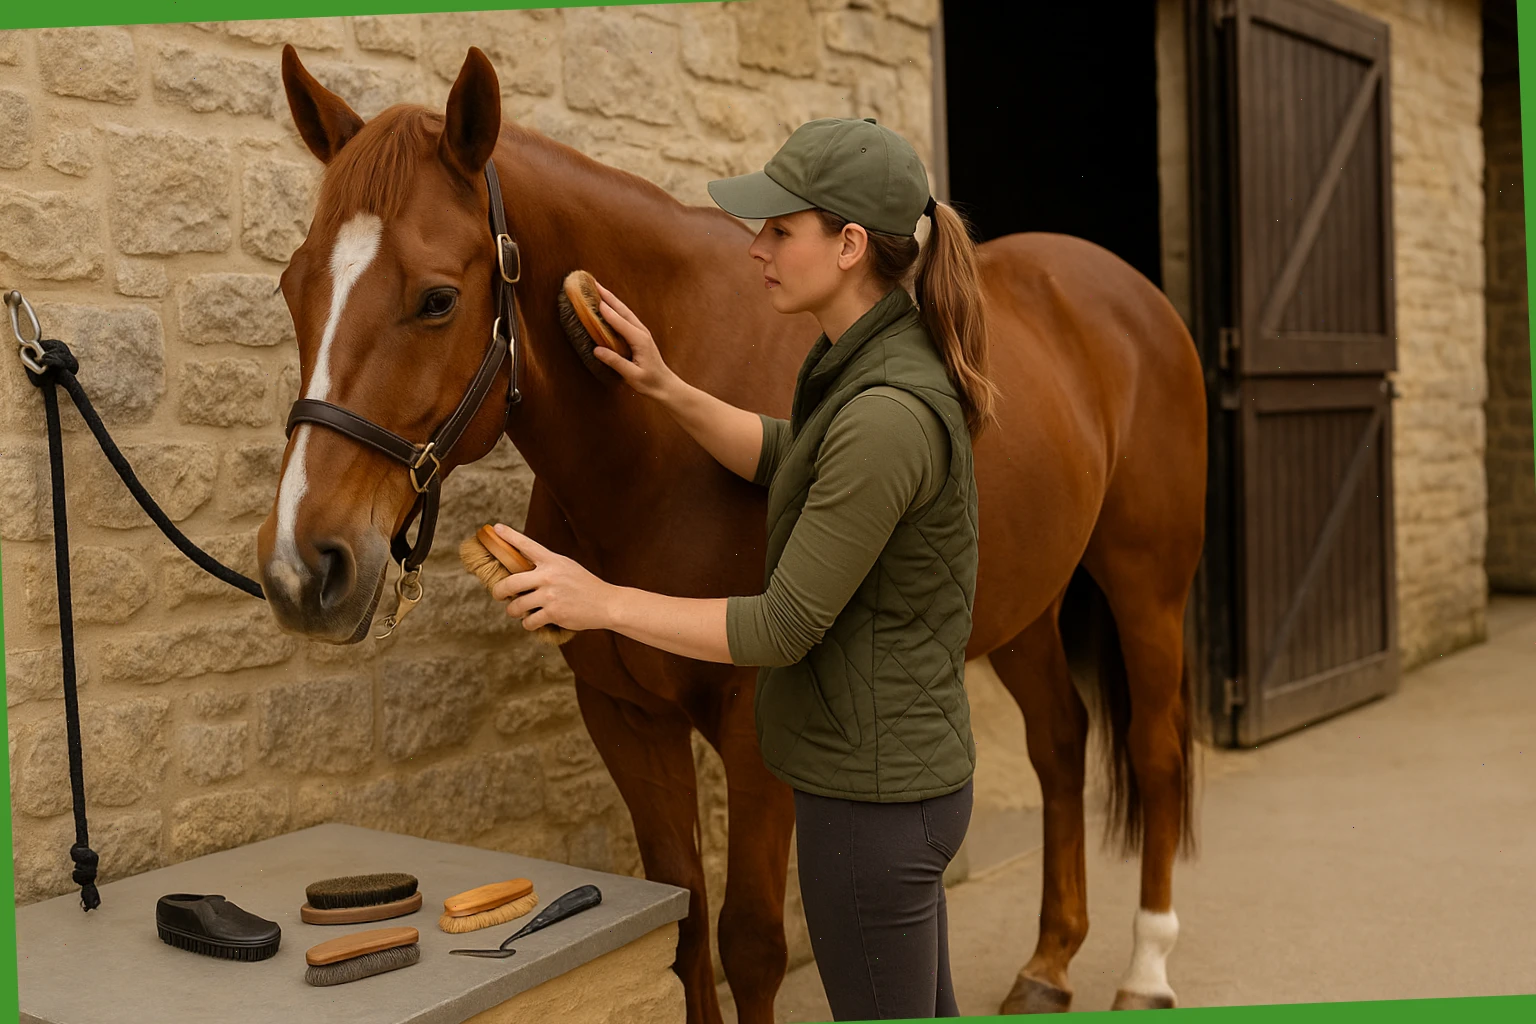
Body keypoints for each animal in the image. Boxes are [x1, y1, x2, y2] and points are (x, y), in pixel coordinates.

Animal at [258, 45, 1206, 1020]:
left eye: (439, 300)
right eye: (294, 286)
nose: (303, 568)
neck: (652, 459)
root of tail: (1124, 291)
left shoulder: (759, 734)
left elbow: (749, 940)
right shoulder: (628, 717)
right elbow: (680, 921)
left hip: (1147, 583)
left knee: (1155, 752)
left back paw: (1145, 970)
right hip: (1023, 607)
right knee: (1060, 742)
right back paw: (1049, 962)